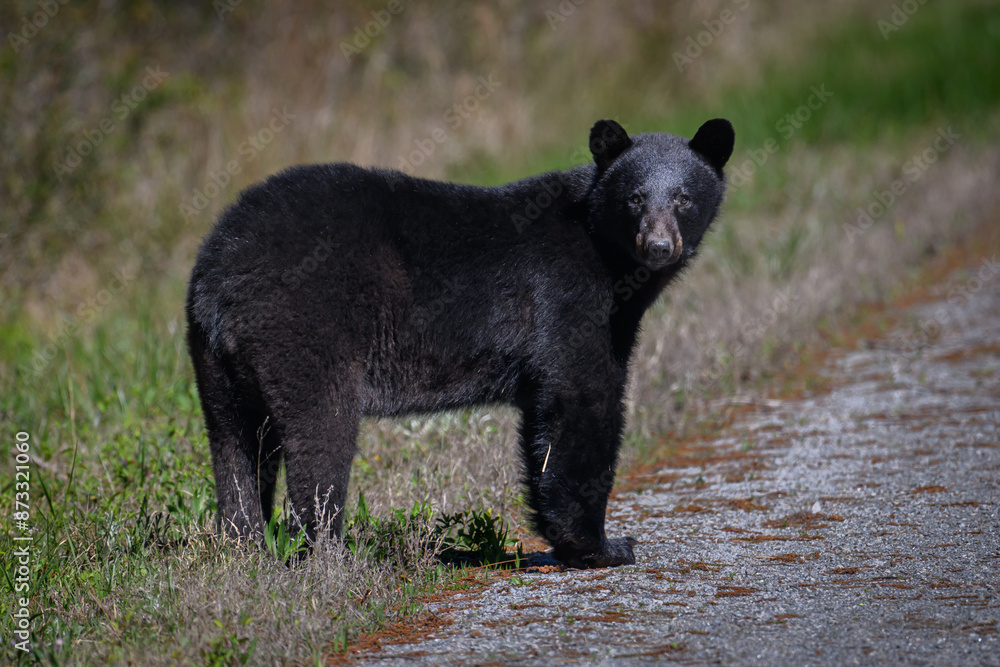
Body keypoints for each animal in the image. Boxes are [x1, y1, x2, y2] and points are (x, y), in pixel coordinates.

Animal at [186, 118, 734, 568]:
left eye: (684, 197)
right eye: (635, 198)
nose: (659, 246)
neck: (607, 255)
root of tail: (221, 268)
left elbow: (543, 425)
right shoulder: (570, 302)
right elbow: (582, 403)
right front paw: (604, 546)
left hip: (213, 358)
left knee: (235, 442)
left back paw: (244, 545)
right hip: (303, 328)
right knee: (319, 437)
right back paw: (330, 556)